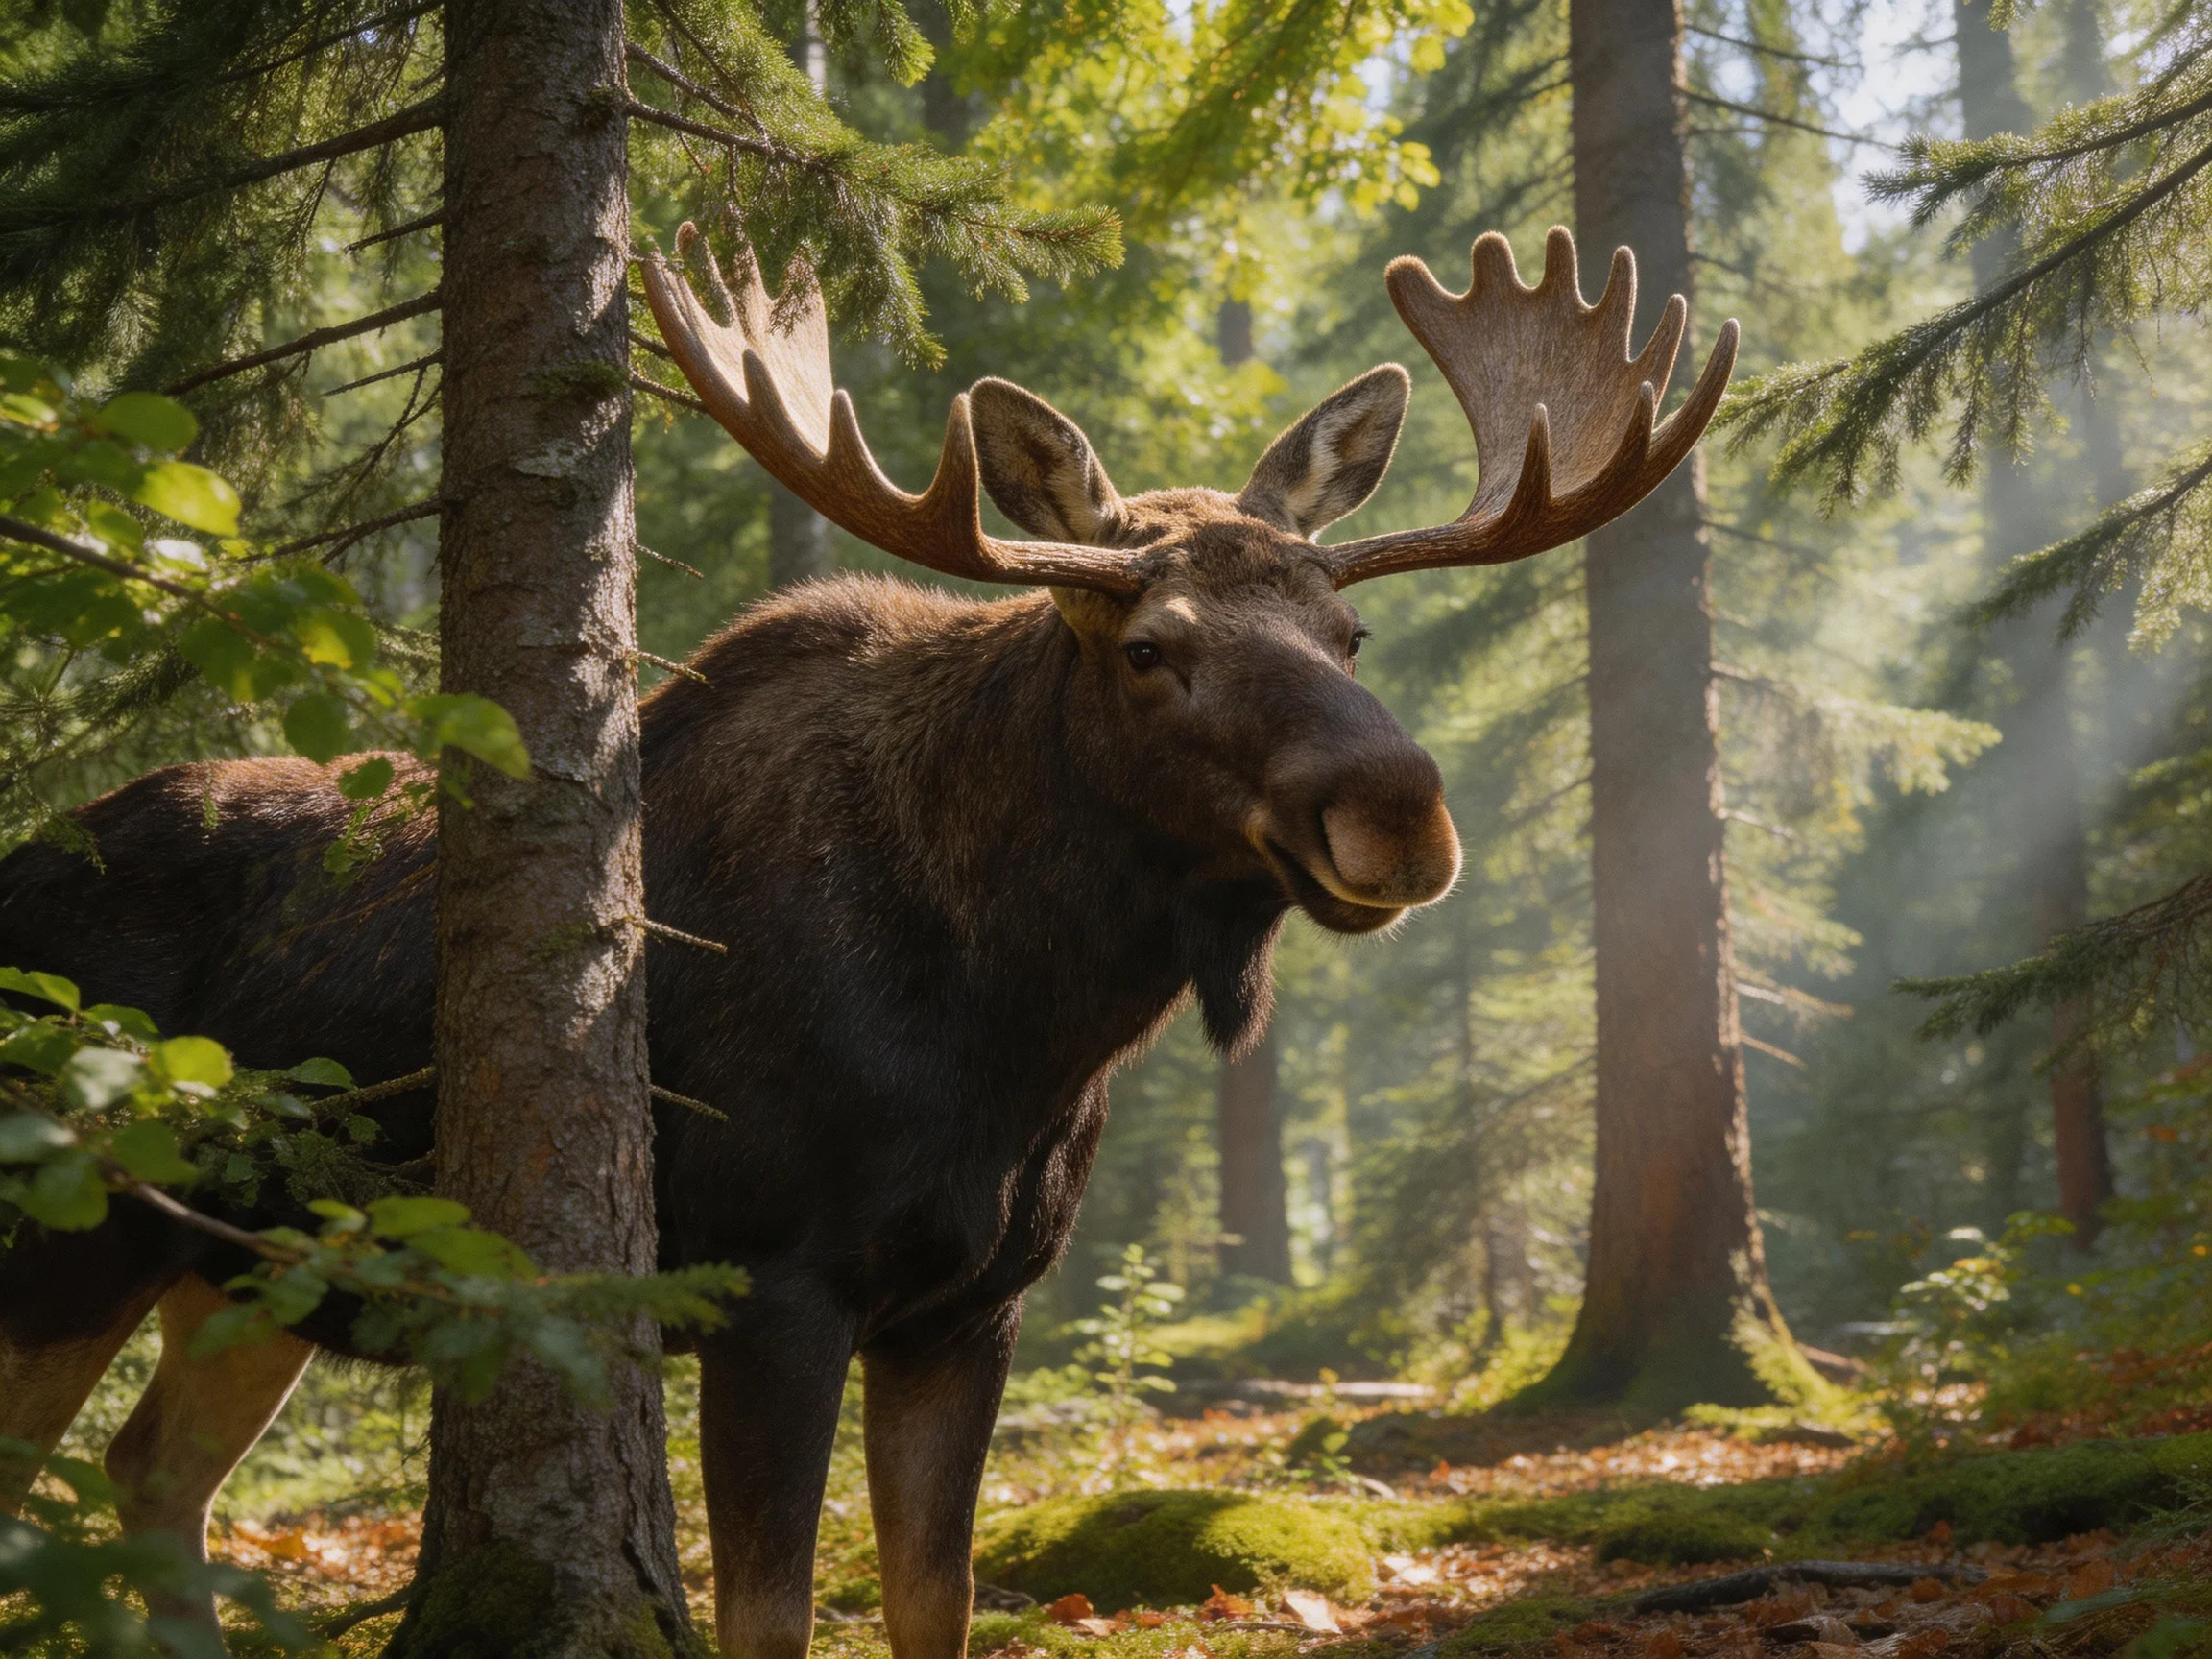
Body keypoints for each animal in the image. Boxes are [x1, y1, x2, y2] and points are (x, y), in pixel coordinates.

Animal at [0, 224, 1734, 1658]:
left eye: (1349, 631)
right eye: (1151, 645)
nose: (1400, 810)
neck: (1019, 1031)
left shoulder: (973, 1304)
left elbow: (932, 1601)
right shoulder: (766, 1277)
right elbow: (768, 1614)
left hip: (245, 1264)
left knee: (152, 1478)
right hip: (71, 1230)